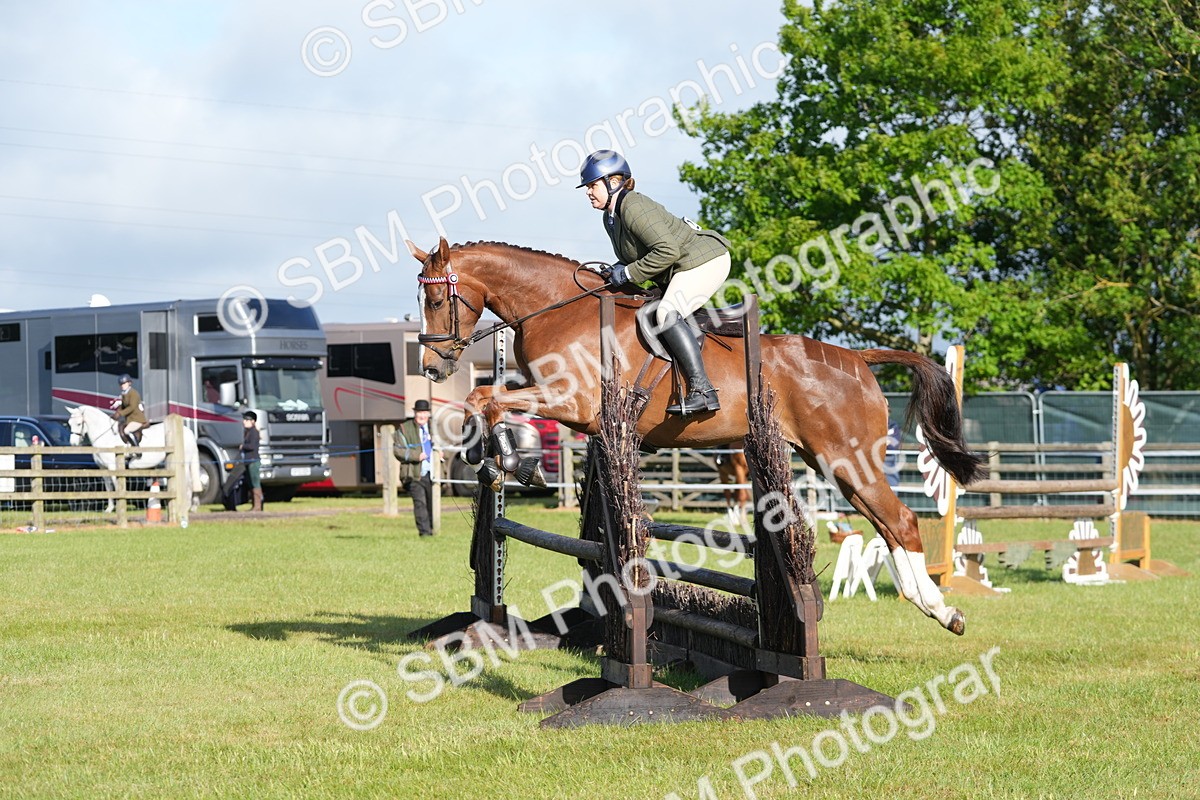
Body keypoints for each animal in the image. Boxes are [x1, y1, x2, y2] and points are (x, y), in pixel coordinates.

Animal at [66, 405, 203, 512]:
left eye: (79, 423)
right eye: (69, 424)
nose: (73, 443)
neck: (106, 436)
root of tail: (188, 431)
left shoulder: (113, 467)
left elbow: (116, 486)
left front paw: (120, 506)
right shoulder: (103, 469)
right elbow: (108, 487)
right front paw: (109, 509)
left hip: (184, 464)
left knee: (189, 483)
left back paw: (187, 507)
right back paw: (193, 507)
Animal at [405, 237, 987, 636]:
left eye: (435, 302)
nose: (432, 368)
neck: (558, 308)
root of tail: (858, 357)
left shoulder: (574, 404)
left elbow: (488, 399)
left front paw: (508, 462)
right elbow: (486, 397)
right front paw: (499, 459)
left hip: (847, 459)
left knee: (902, 521)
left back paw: (943, 610)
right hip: (833, 463)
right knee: (888, 527)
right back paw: (932, 605)